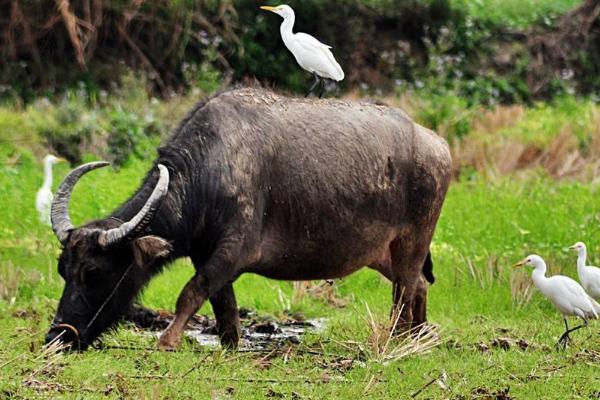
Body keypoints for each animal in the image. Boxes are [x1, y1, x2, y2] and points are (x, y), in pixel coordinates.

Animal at [45, 88, 450, 350]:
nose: (59, 336)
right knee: (418, 286)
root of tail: (435, 144)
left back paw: (397, 339)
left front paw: (167, 341)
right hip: (382, 253)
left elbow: (191, 291)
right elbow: (223, 307)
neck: (208, 172)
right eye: (63, 269)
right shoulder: (205, 254)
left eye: (95, 272)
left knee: (406, 288)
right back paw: (417, 336)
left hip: (414, 240)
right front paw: (228, 346)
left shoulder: (235, 250)